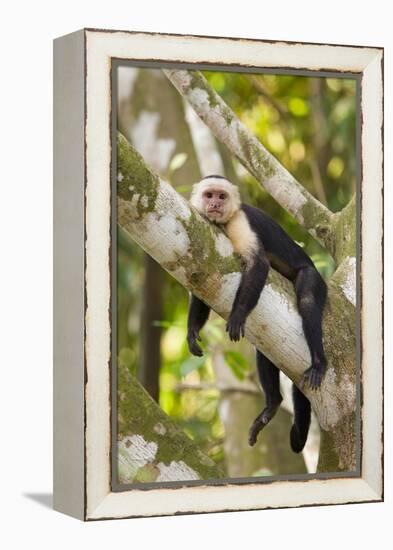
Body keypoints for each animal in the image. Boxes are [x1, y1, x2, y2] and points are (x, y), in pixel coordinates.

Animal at [187, 176, 328, 452]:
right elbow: (201, 285)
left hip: (315, 279)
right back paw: (272, 404)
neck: (224, 222)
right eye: (209, 195)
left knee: (308, 299)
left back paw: (319, 363)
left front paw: (237, 315)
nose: (215, 205)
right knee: (265, 351)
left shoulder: (240, 221)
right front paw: (192, 331)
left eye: (221, 196)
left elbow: (258, 264)